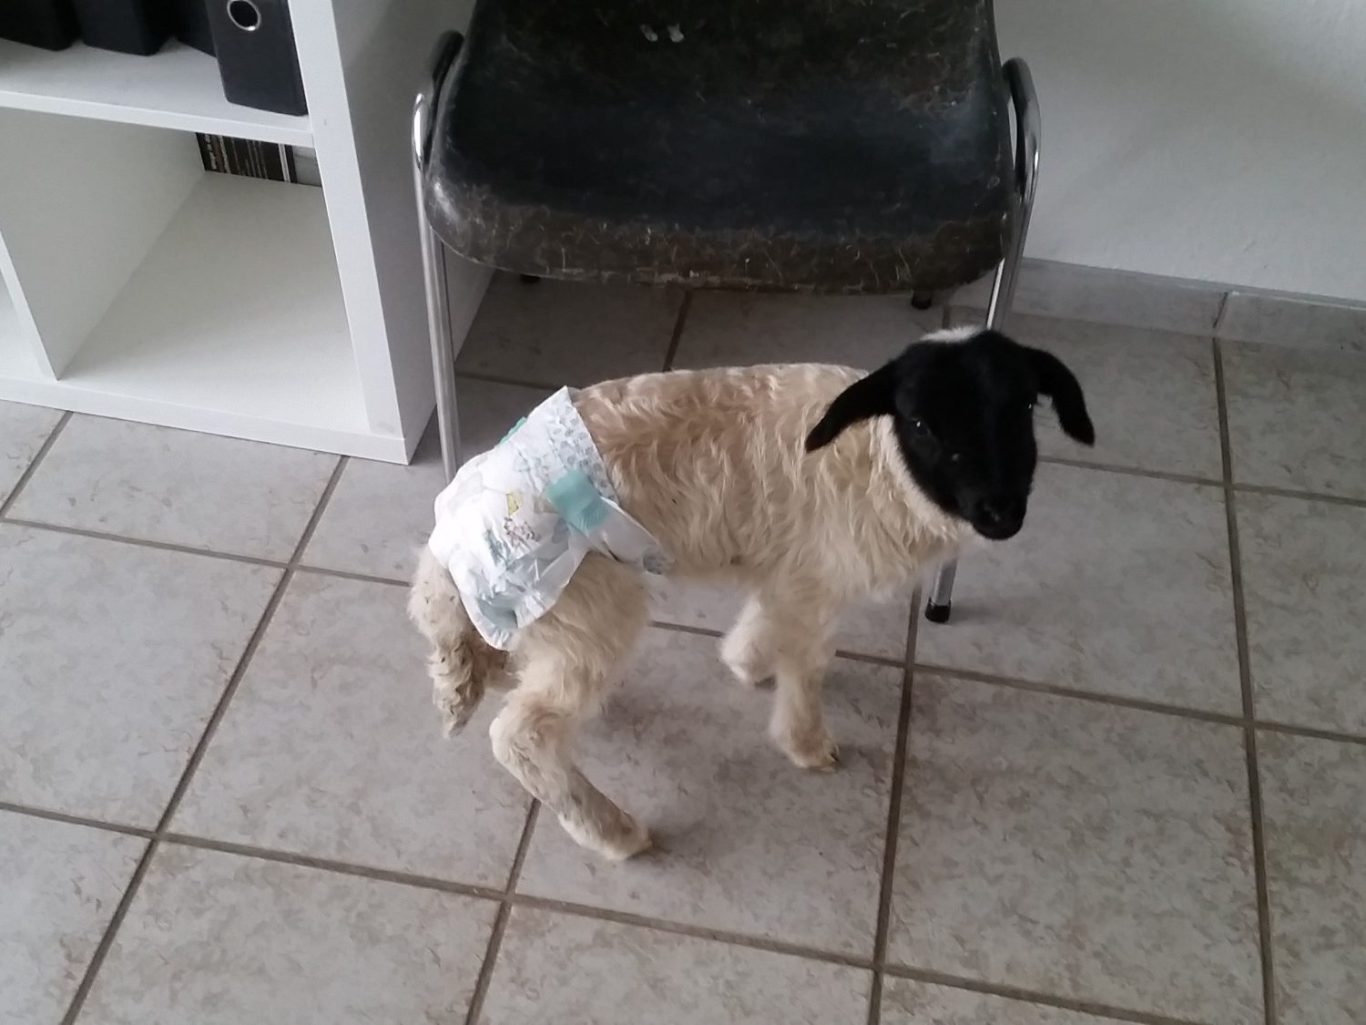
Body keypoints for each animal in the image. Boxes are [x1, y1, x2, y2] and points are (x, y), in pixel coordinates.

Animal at [409, 326, 1094, 860]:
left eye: (1024, 410)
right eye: (922, 423)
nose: (1001, 512)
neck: (878, 460)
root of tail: (446, 552)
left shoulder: (791, 572)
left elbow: (770, 625)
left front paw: (745, 662)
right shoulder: (817, 578)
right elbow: (808, 664)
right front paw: (808, 745)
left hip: (547, 616)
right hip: (588, 601)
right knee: (523, 735)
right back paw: (617, 832)